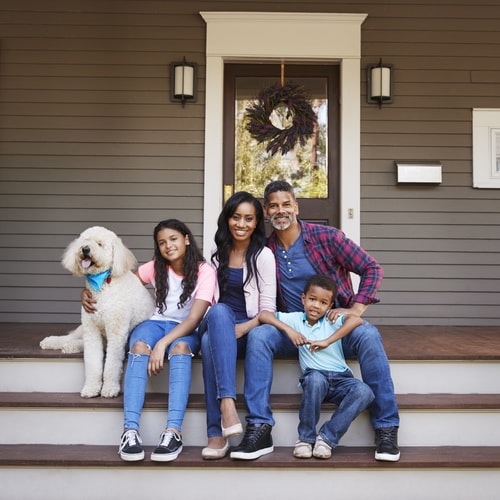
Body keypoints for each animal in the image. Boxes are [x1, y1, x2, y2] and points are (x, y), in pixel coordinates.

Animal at [40, 227, 154, 398]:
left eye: (100, 244)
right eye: (85, 241)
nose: (85, 249)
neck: (103, 284)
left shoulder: (115, 332)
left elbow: (111, 365)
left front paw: (109, 388)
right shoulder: (91, 329)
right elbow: (92, 362)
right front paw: (91, 388)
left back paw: (70, 346)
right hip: (83, 329)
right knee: (69, 337)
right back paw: (53, 342)